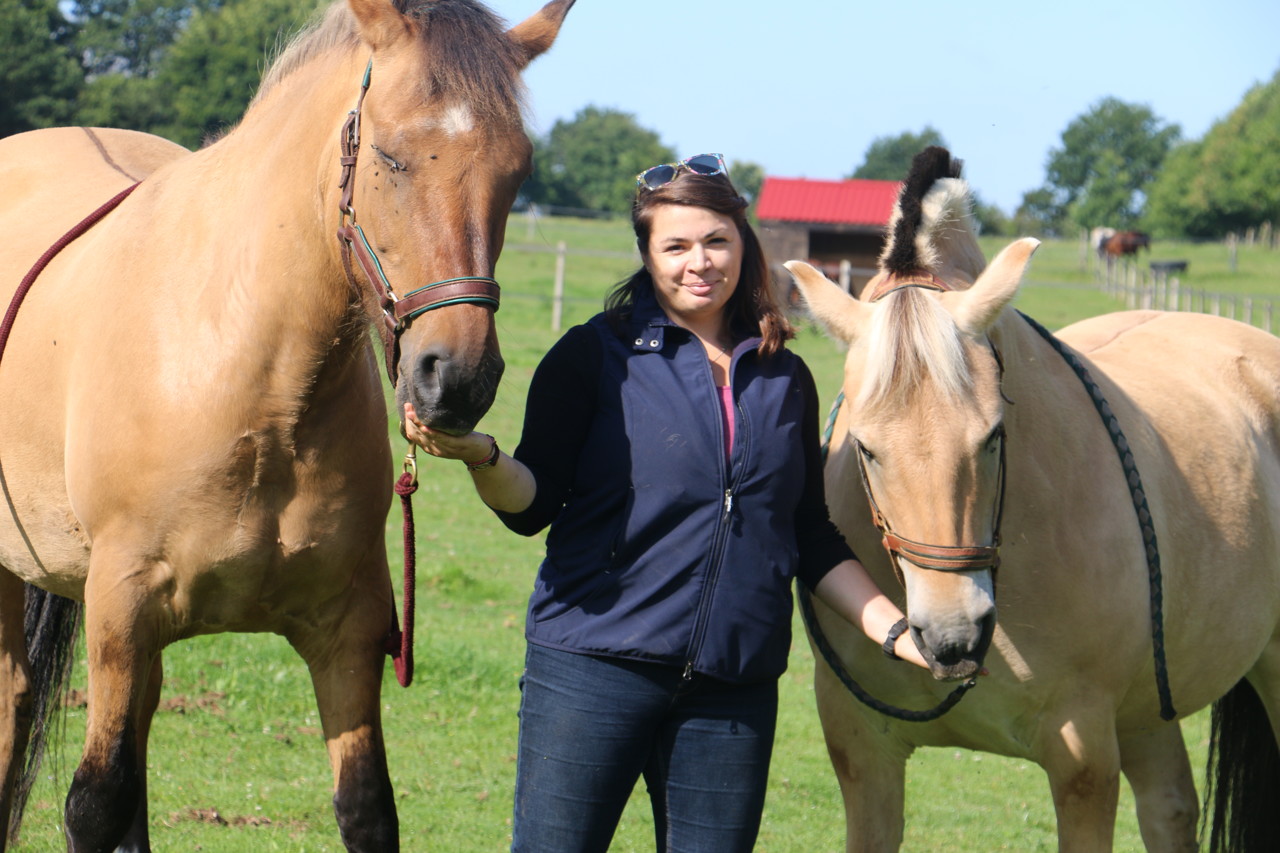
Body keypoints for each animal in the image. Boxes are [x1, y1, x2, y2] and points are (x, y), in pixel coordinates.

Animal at [0, 3, 576, 845]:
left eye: (517, 171)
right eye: (391, 155)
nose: (458, 377)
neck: (258, 388)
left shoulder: (348, 630)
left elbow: (366, 806)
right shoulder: (121, 612)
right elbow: (94, 801)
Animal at [783, 147, 1280, 850]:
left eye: (994, 435)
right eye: (866, 448)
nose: (954, 638)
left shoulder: (1084, 760)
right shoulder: (863, 755)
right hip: (1147, 713)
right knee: (1171, 808)